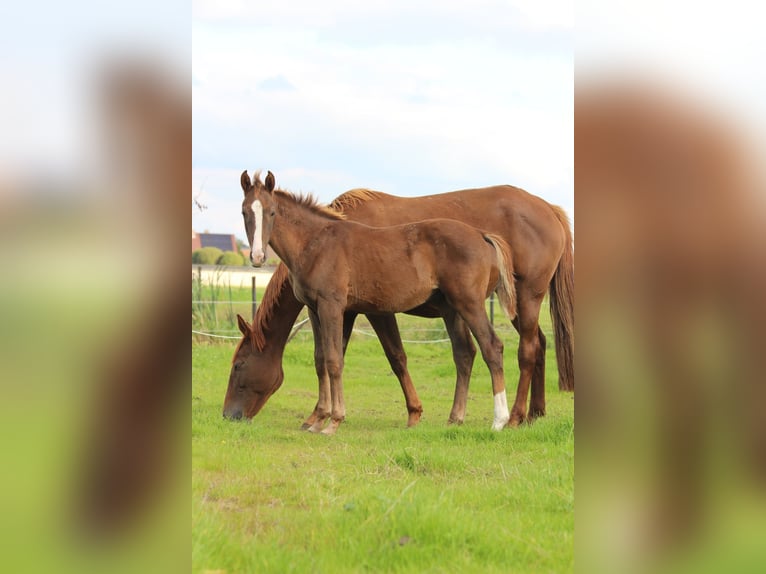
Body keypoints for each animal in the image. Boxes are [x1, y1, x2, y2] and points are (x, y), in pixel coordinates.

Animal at [220, 171, 568, 428]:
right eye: (243, 212)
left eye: (238, 365)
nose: (229, 415)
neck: (319, 239)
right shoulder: (328, 311)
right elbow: (324, 359)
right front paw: (317, 417)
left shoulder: (356, 309)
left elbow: (379, 357)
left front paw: (344, 418)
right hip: (470, 308)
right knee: (507, 348)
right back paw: (517, 414)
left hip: (509, 299)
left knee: (511, 348)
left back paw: (508, 419)